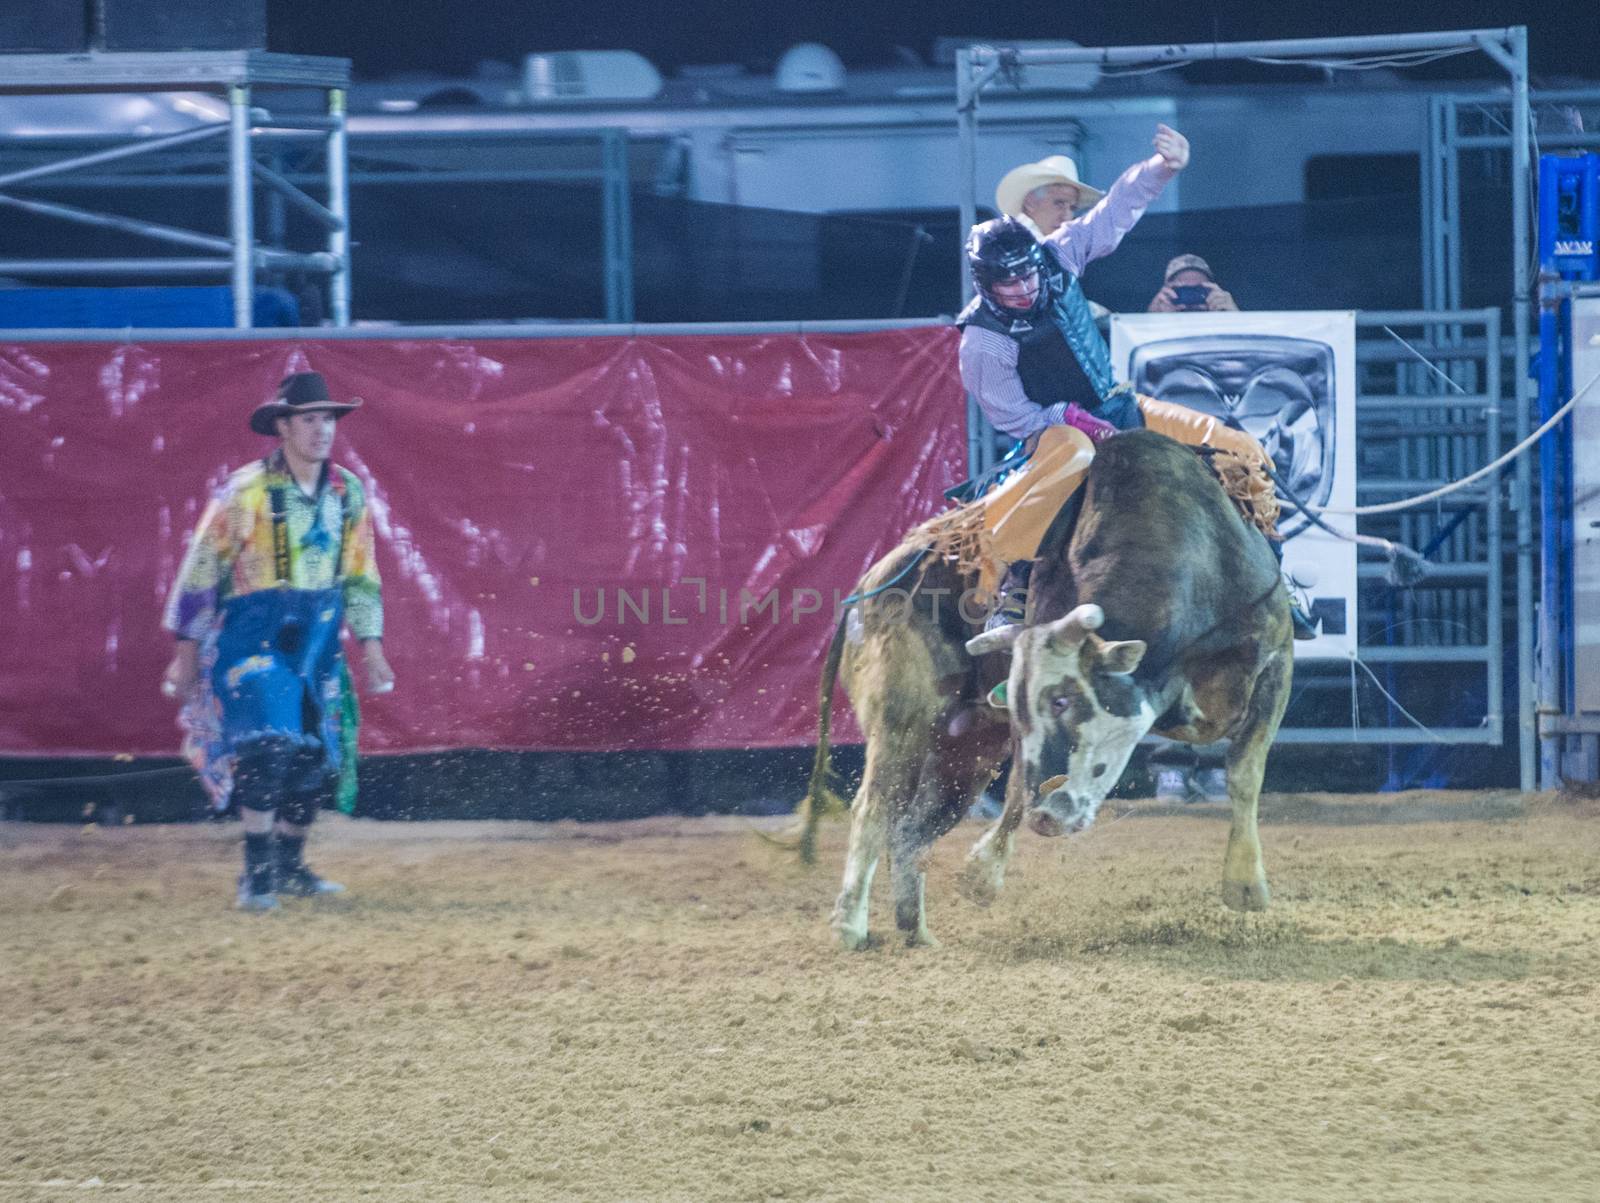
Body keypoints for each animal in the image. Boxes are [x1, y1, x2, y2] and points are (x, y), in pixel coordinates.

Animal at [793, 428, 1292, 947]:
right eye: (1023, 707)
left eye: (1063, 700)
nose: (1047, 817)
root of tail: (865, 588)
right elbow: (1017, 787)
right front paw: (982, 874)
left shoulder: (1277, 659)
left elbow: (1244, 771)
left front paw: (1245, 885)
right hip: (901, 721)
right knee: (873, 809)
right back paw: (851, 924)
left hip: (964, 750)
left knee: (911, 830)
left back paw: (916, 932)